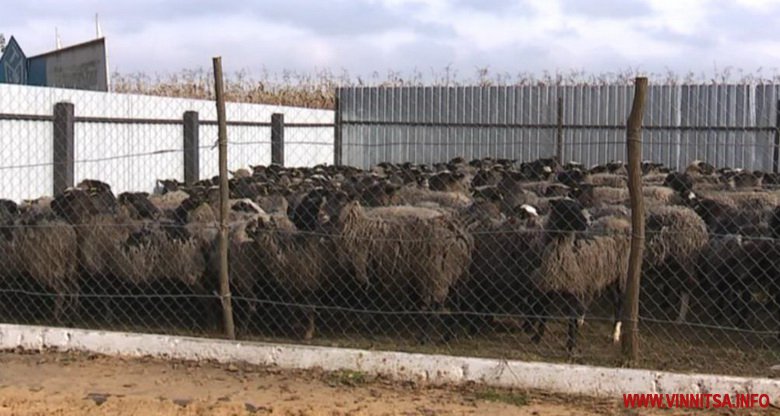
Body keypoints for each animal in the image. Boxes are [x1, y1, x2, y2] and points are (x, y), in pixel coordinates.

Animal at [528, 198, 632, 352]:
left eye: (579, 207)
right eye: (567, 207)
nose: (585, 223)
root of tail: (618, 224)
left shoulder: (574, 288)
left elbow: (571, 320)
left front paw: (571, 345)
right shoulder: (550, 285)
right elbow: (544, 314)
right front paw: (537, 338)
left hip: (619, 277)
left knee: (618, 303)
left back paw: (615, 334)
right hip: (602, 277)